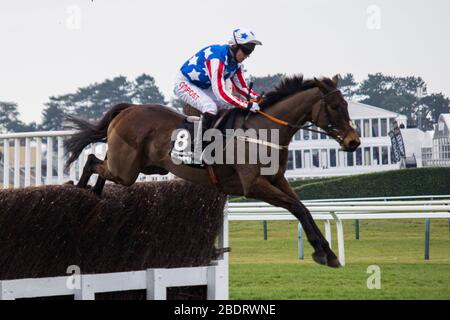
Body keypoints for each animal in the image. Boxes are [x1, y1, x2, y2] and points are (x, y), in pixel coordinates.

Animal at [64, 74, 358, 268]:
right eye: (335, 107)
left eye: (346, 106)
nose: (354, 142)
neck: (263, 132)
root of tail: (130, 109)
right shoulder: (254, 185)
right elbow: (296, 207)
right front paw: (323, 252)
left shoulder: (277, 180)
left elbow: (303, 209)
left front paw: (327, 253)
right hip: (126, 170)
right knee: (91, 160)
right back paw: (80, 191)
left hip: (137, 166)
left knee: (99, 166)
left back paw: (94, 194)